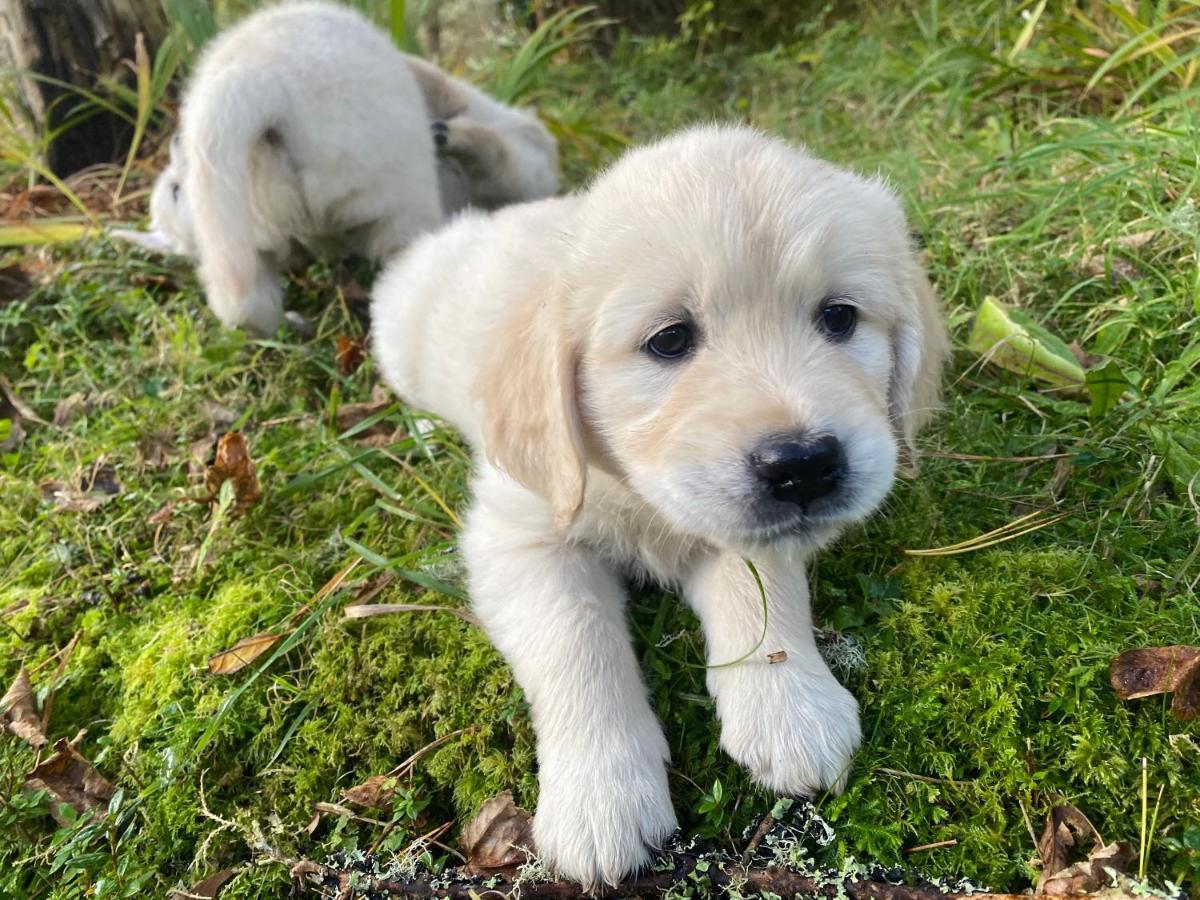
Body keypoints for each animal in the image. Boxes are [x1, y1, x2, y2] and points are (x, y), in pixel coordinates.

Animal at [367, 121, 945, 888]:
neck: (635, 488)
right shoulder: (522, 534)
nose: (803, 466)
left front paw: (791, 708)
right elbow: (576, 641)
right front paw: (600, 794)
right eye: (669, 340)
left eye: (839, 318)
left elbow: (762, 588)